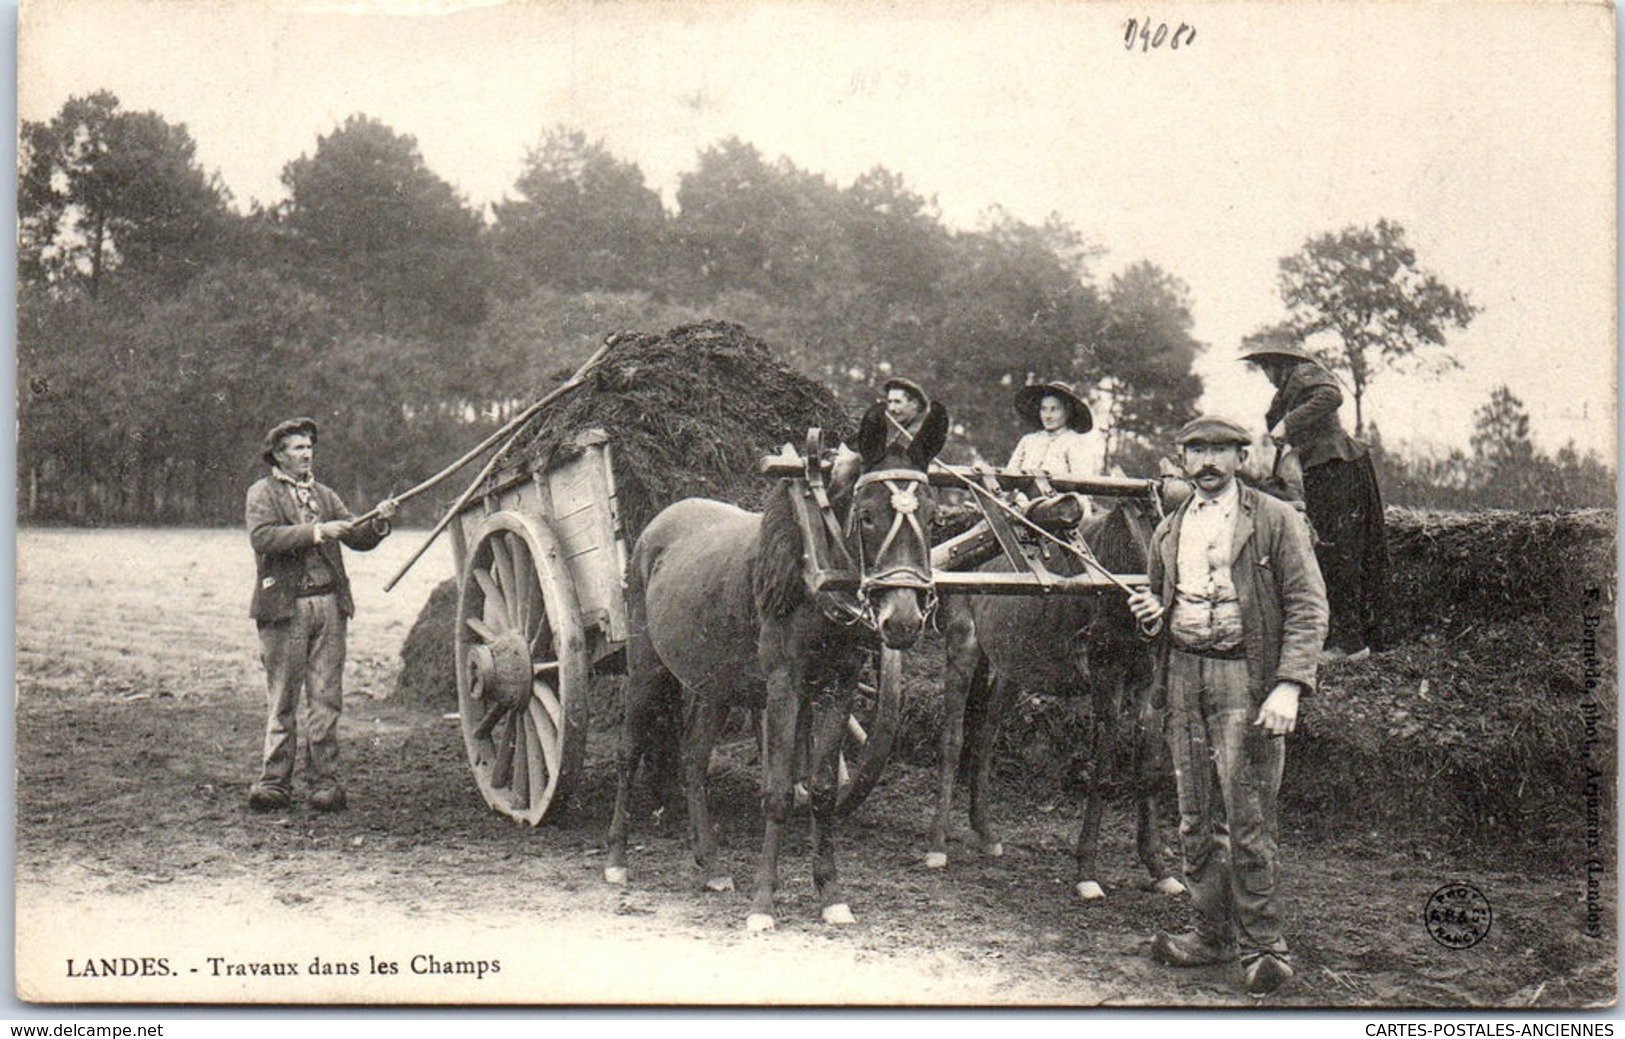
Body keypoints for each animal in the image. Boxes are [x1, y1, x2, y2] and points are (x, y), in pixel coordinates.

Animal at [611, 403, 949, 930]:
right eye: (867, 516)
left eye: (934, 518)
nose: (903, 621)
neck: (812, 570)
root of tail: (656, 526)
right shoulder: (784, 687)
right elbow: (778, 791)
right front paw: (764, 902)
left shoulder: (839, 686)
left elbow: (823, 788)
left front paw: (830, 893)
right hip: (645, 666)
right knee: (629, 750)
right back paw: (617, 859)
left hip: (713, 683)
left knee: (693, 760)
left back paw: (711, 866)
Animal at [936, 494, 1189, 904]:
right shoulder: (1106, 674)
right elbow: (1103, 770)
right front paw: (1086, 871)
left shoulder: (1149, 682)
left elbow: (1148, 769)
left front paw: (1158, 869)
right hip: (963, 642)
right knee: (952, 739)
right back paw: (936, 844)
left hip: (1014, 667)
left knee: (985, 734)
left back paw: (986, 833)